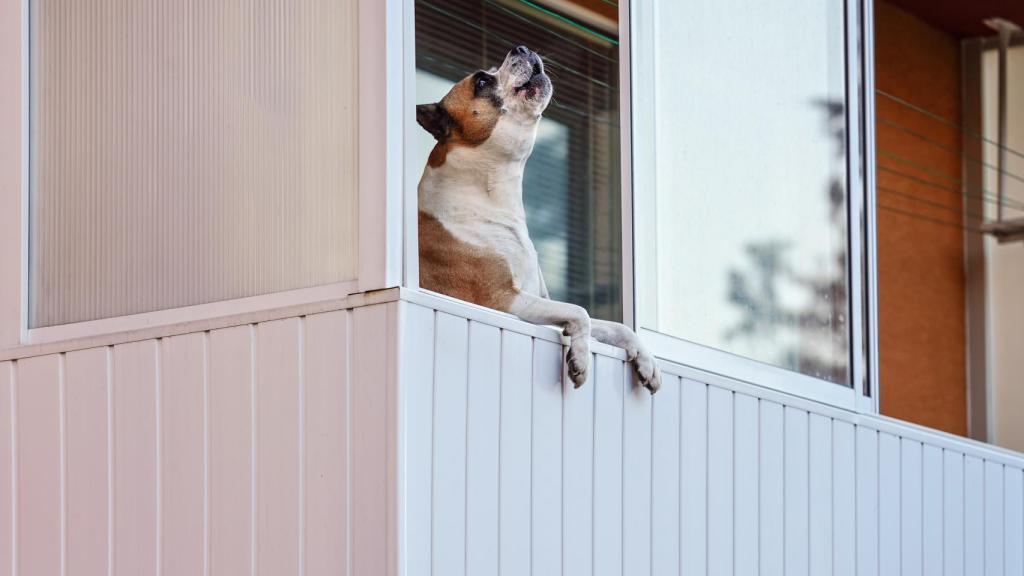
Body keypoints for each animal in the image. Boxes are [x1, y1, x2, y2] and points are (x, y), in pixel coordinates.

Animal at [415, 47, 663, 391]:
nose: (521, 48)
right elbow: (580, 311)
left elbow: (617, 326)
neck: (491, 195)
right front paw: (580, 358)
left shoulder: (537, 299)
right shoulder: (503, 300)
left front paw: (647, 361)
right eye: (481, 81)